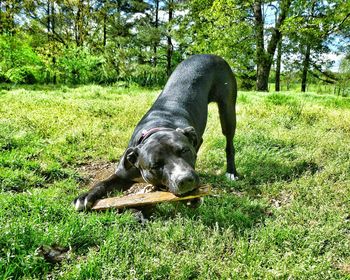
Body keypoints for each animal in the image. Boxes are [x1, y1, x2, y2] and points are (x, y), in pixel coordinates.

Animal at [74, 54, 238, 210]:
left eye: (184, 151)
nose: (185, 179)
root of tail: (211, 55)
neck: (159, 125)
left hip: (227, 109)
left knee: (229, 142)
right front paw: (86, 196)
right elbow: (104, 183)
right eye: (155, 166)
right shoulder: (123, 173)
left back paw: (231, 172)